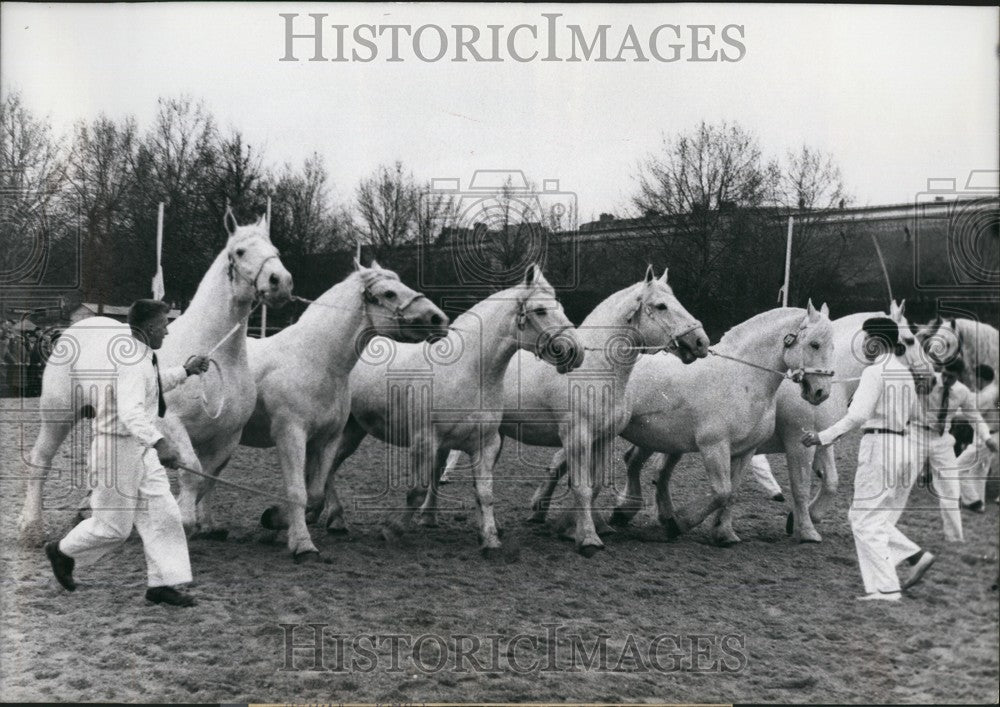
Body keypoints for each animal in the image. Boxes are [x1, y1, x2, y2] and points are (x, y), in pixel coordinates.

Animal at [17, 210, 293, 544]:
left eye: (275, 250)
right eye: (239, 251)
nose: (281, 282)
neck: (220, 357)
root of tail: (71, 329)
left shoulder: (227, 437)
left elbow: (208, 478)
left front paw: (206, 524)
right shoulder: (170, 424)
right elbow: (191, 471)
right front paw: (184, 520)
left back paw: (88, 510)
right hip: (58, 415)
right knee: (40, 461)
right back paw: (31, 527)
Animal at [239, 259, 450, 561]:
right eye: (388, 293)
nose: (438, 319)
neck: (313, 361)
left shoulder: (326, 439)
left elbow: (314, 491)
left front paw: (274, 519)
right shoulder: (290, 436)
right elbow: (298, 491)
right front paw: (302, 544)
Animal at [319, 264, 585, 558]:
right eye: (540, 310)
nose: (576, 350)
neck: (469, 372)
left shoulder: (485, 445)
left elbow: (485, 493)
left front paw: (490, 540)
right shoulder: (424, 442)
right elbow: (418, 490)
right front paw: (392, 530)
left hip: (355, 430)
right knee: (329, 466)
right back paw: (335, 518)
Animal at [435, 266, 709, 557]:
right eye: (661, 306)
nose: (700, 342)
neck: (598, 369)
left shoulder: (603, 439)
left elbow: (595, 484)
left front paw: (576, 527)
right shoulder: (577, 437)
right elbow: (582, 487)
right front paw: (587, 537)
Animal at [596, 303, 835, 547]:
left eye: (832, 346)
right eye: (815, 344)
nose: (821, 392)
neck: (742, 380)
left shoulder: (745, 451)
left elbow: (733, 493)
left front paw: (724, 533)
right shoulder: (715, 446)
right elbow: (722, 492)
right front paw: (679, 523)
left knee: (641, 466)